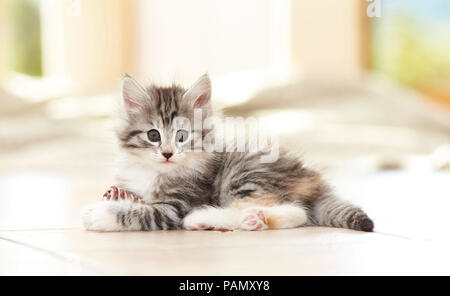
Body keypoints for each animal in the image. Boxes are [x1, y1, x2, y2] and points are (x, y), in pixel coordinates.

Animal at [82, 73, 374, 231]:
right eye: (153, 135)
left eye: (181, 136)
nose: (167, 154)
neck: (156, 172)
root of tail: (314, 180)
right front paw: (119, 196)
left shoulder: (179, 204)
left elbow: (148, 213)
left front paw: (102, 214)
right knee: (297, 212)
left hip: (244, 174)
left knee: (293, 210)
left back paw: (205, 218)